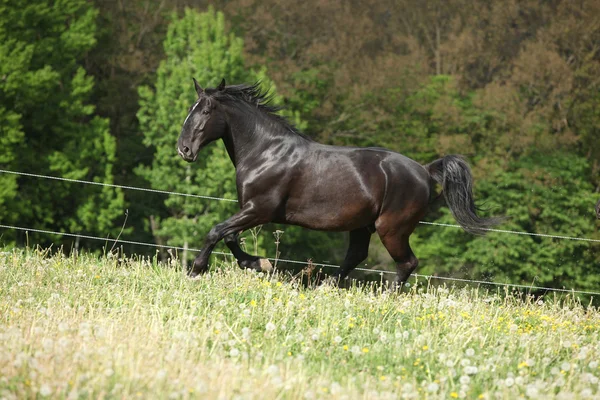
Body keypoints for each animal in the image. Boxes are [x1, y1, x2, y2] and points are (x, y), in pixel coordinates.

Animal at [177, 78, 502, 284]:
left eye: (205, 110)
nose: (184, 149)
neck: (266, 152)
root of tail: (424, 170)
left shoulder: (260, 209)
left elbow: (216, 231)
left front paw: (196, 270)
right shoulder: (251, 210)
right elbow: (229, 236)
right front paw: (260, 263)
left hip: (392, 228)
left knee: (406, 263)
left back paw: (384, 296)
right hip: (362, 225)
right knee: (357, 256)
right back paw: (326, 286)